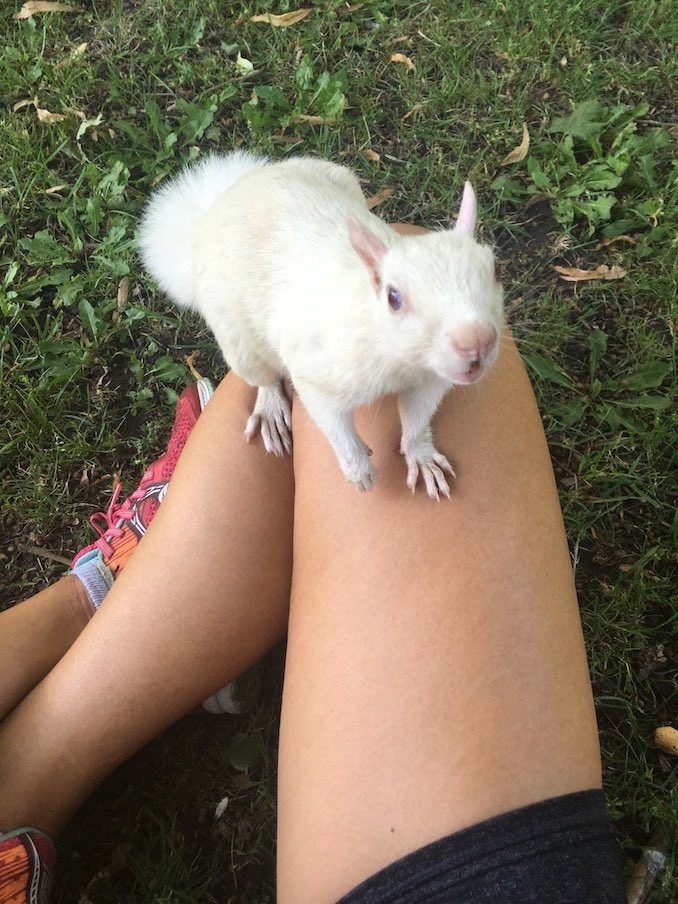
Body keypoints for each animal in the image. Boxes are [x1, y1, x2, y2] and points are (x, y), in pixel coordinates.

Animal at [139, 152, 504, 498]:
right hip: (236, 337)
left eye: (495, 270)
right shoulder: (319, 372)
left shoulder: (430, 382)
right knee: (262, 377)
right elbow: (331, 421)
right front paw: (358, 469)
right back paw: (270, 408)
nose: (476, 341)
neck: (403, 362)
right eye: (393, 297)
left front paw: (421, 456)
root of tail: (219, 203)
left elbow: (417, 418)